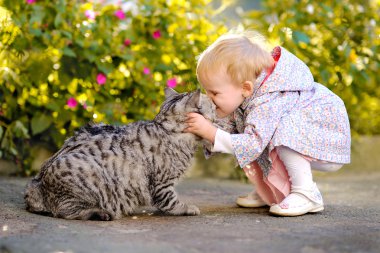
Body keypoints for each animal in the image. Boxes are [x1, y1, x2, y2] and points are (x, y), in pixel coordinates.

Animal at [24, 88, 217, 220]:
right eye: (213, 109)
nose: (217, 111)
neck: (165, 128)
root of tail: (37, 185)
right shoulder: (162, 183)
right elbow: (171, 202)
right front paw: (187, 208)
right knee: (67, 212)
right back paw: (100, 213)